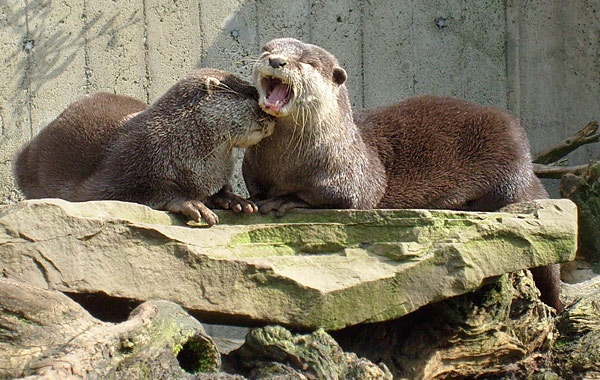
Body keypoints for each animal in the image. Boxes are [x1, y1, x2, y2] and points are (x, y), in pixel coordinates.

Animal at [15, 68, 274, 226]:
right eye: (254, 99)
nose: (272, 118)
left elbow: (221, 190)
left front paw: (235, 199)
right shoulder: (129, 160)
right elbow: (136, 191)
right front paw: (189, 203)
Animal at [243, 37, 564, 312]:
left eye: (307, 62)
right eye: (267, 49)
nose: (277, 61)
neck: (288, 163)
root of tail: (529, 168)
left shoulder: (354, 174)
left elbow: (343, 198)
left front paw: (285, 200)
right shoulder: (252, 169)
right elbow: (254, 189)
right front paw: (248, 201)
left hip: (508, 165)